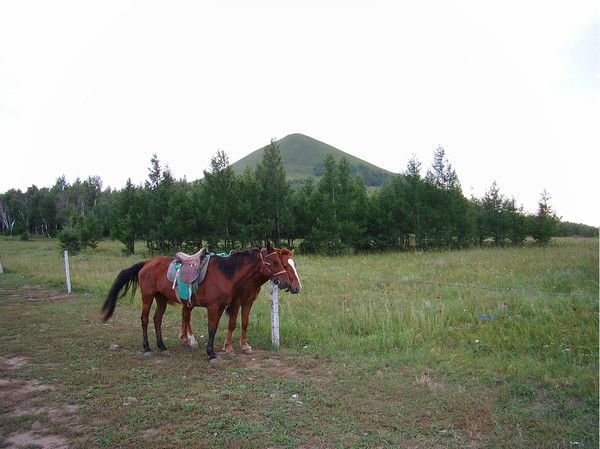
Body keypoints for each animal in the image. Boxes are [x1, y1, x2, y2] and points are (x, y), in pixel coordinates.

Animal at [101, 245, 290, 360]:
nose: (286, 283)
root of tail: (147, 263)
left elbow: (214, 328)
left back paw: (162, 347)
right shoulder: (213, 307)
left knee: (157, 319)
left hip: (161, 298)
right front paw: (211, 353)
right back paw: (147, 348)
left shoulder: (221, 306)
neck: (225, 273)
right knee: (145, 319)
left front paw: (212, 349)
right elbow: (211, 328)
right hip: (147, 297)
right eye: (274, 261)